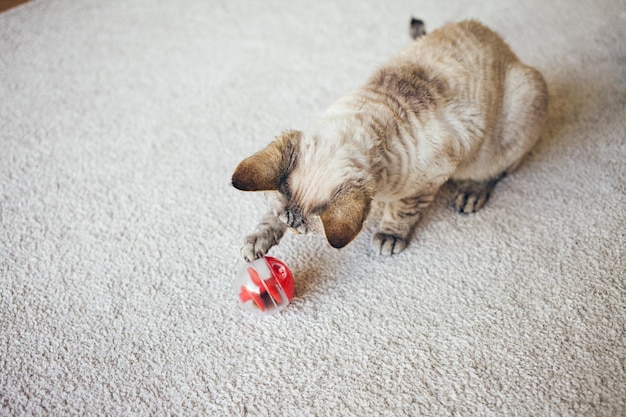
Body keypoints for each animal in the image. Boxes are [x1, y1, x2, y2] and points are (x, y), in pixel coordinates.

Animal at [230, 20, 544, 260]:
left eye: (301, 231)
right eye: (291, 228)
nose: (295, 232)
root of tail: (502, 44)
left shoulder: (431, 178)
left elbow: (403, 211)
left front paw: (389, 235)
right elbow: (270, 217)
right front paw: (257, 241)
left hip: (518, 108)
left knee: (498, 170)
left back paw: (470, 193)